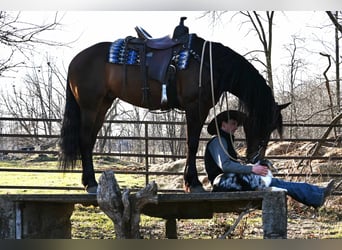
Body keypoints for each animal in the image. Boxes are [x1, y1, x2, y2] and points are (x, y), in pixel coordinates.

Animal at [58, 26, 288, 193]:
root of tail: (75, 60)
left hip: (102, 105)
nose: (256, 160)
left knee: (90, 140)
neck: (210, 64)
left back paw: (90, 181)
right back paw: (91, 183)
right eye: (265, 125)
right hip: (90, 106)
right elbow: (192, 143)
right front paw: (193, 183)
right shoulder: (196, 107)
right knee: (85, 140)